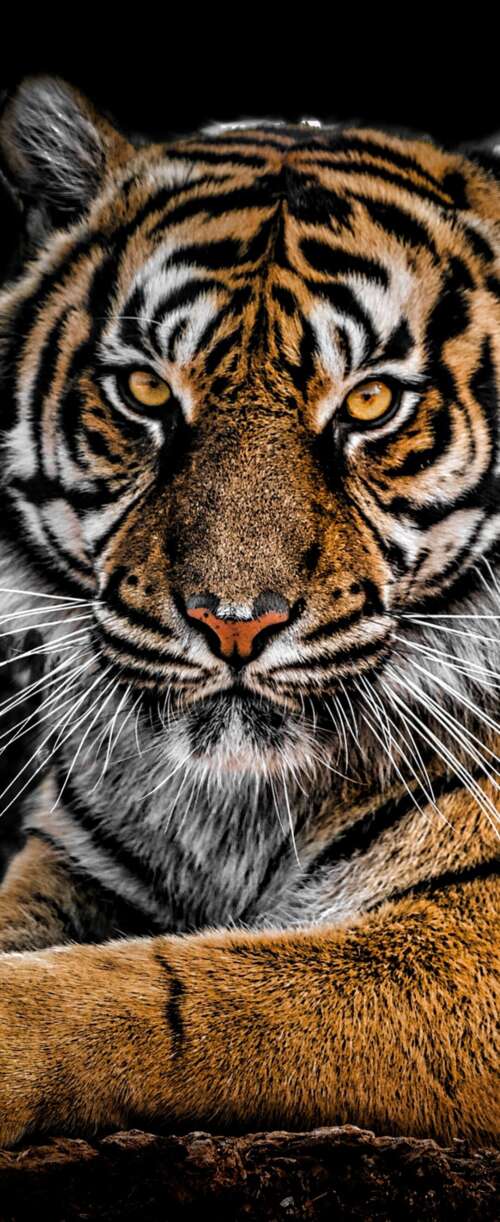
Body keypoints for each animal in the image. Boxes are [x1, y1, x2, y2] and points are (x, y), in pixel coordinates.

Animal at [0, 75, 498, 1149]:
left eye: (371, 404)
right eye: (145, 390)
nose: (235, 621)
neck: (233, 808)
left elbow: (192, 993)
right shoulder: (75, 864)